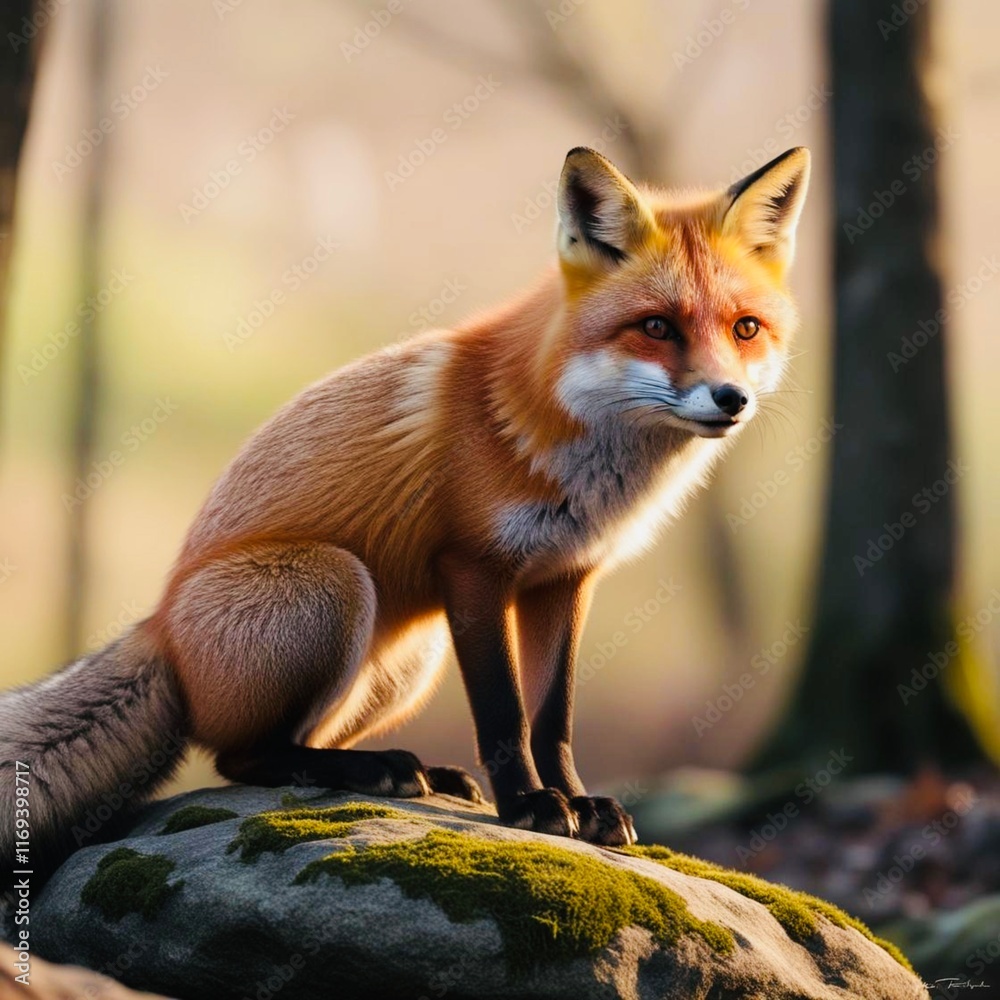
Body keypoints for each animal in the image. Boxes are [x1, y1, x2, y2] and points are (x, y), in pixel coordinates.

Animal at [1, 145, 809, 890]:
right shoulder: (474, 565)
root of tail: (160, 621)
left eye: (745, 328)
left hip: (409, 656)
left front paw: (583, 806)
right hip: (334, 583)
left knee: (284, 744)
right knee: (240, 757)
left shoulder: (566, 576)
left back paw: (409, 770)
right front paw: (530, 808)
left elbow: (554, 718)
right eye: (657, 327)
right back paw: (375, 769)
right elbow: (505, 712)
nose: (730, 398)